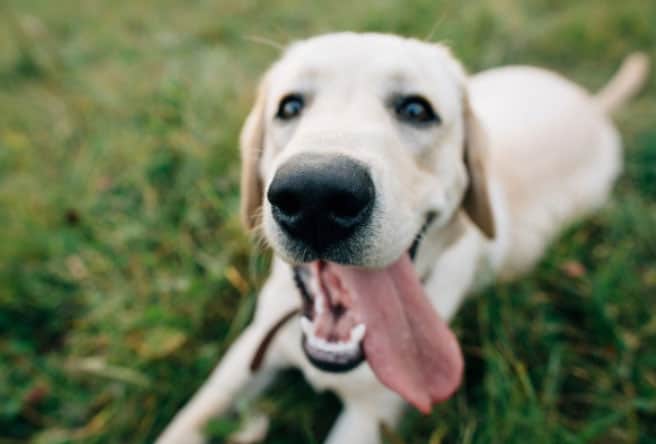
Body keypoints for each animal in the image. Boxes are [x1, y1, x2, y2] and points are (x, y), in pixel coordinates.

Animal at [158, 33, 644, 442]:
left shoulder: (371, 416)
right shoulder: (248, 351)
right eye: (290, 107)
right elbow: (188, 419)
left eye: (416, 110)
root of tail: (592, 103)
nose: (316, 195)